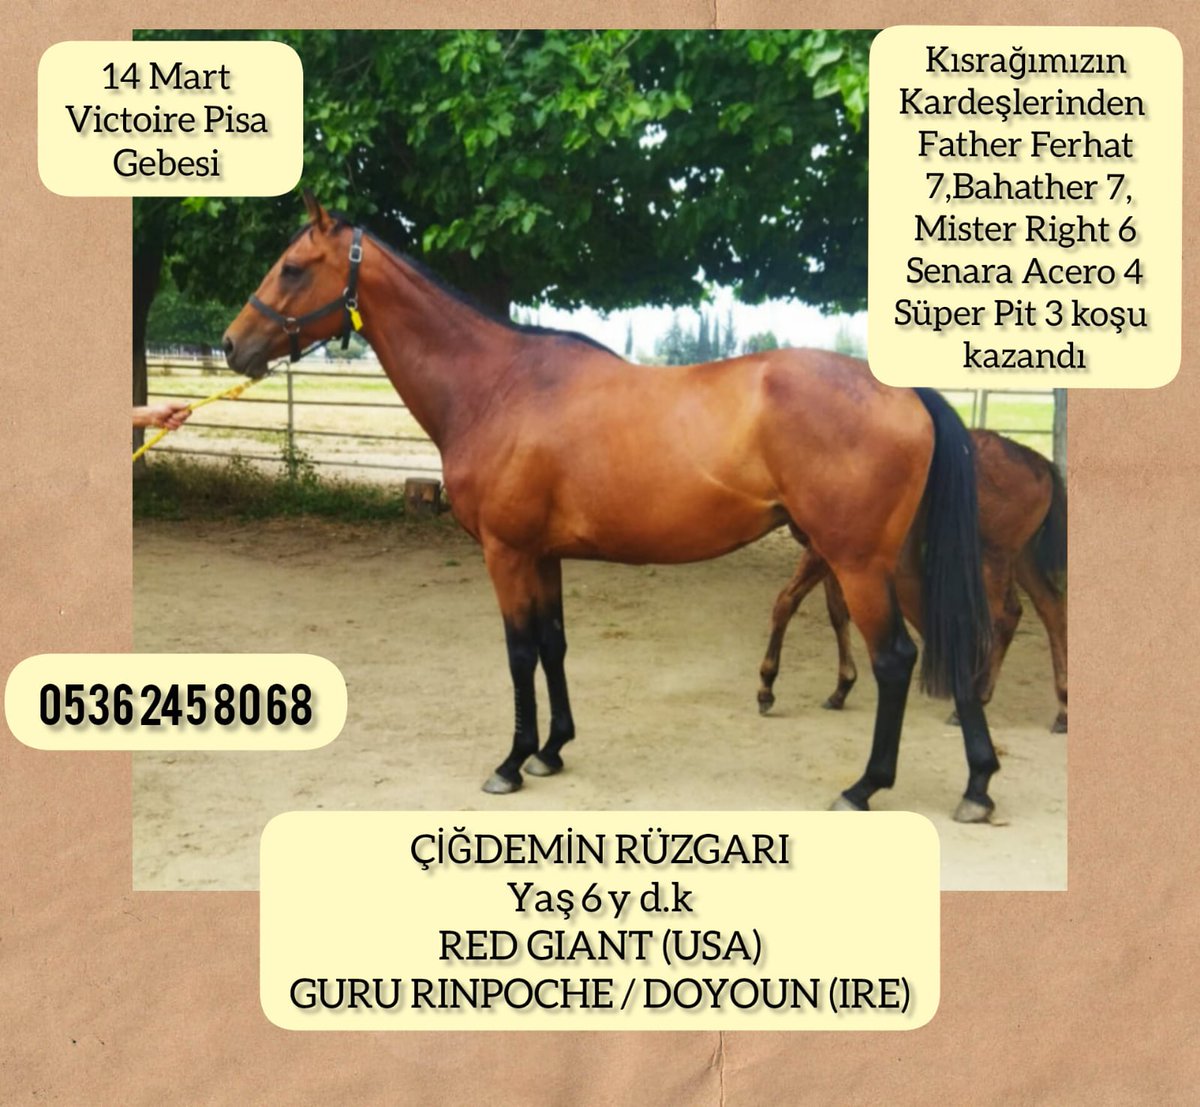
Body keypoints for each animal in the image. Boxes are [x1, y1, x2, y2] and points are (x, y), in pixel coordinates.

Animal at [221, 192, 999, 822]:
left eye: (294, 267)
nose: (232, 345)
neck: (498, 386)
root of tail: (904, 392)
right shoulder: (543, 555)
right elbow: (553, 643)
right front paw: (553, 750)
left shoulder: (505, 552)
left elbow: (519, 652)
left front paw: (511, 763)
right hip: (896, 562)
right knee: (952, 645)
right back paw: (978, 784)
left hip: (858, 562)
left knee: (896, 659)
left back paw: (865, 786)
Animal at [756, 430, 1068, 732]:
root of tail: (1038, 462)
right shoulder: (838, 561)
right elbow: (838, 614)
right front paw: (842, 687)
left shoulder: (824, 552)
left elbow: (786, 602)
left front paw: (766, 688)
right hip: (1021, 559)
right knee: (1050, 608)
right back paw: (1062, 709)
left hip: (993, 558)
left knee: (1005, 617)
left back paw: (975, 699)